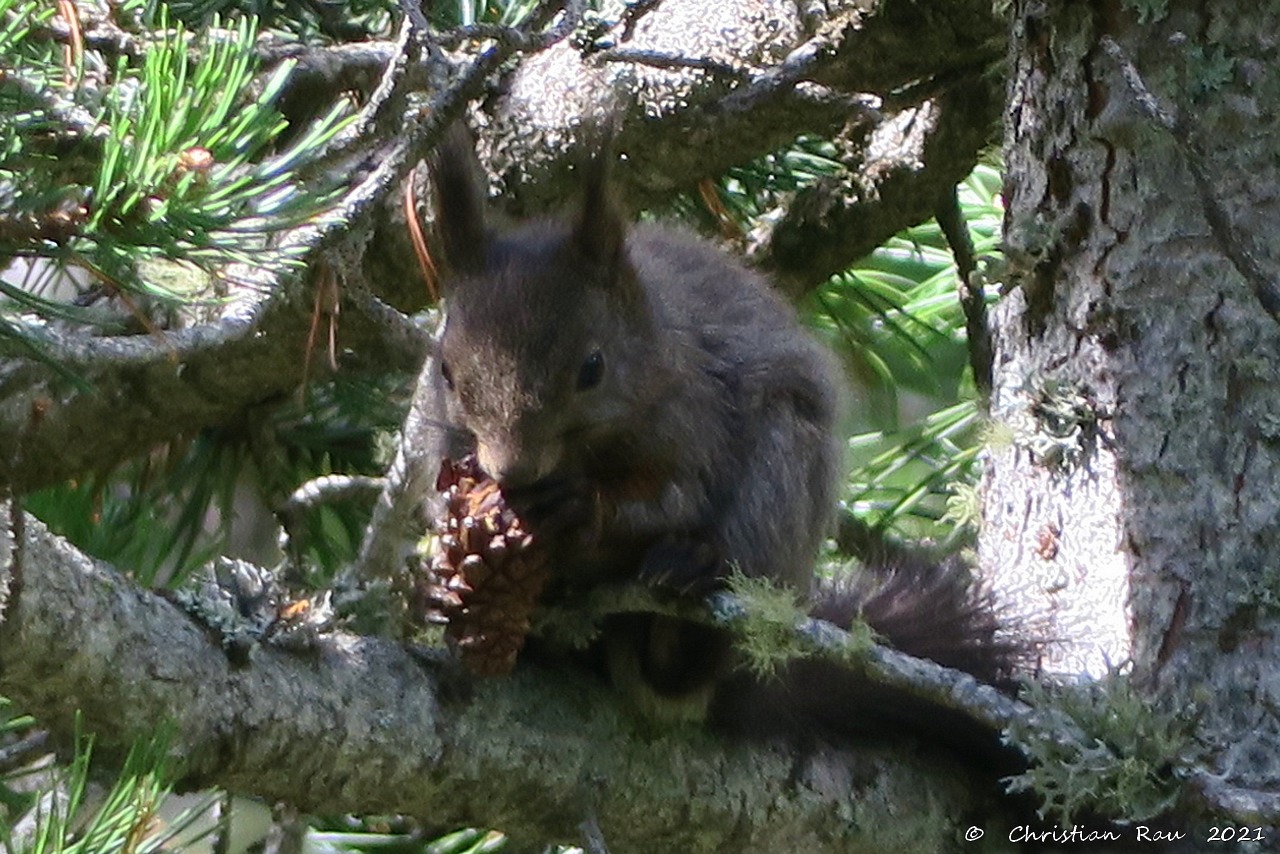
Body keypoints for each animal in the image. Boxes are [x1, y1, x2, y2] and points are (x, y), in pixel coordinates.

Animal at [427, 126, 1008, 742]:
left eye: (592, 368)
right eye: (445, 371)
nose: (512, 469)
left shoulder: (697, 416)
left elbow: (676, 497)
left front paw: (582, 504)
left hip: (781, 475)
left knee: (690, 661)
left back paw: (687, 589)